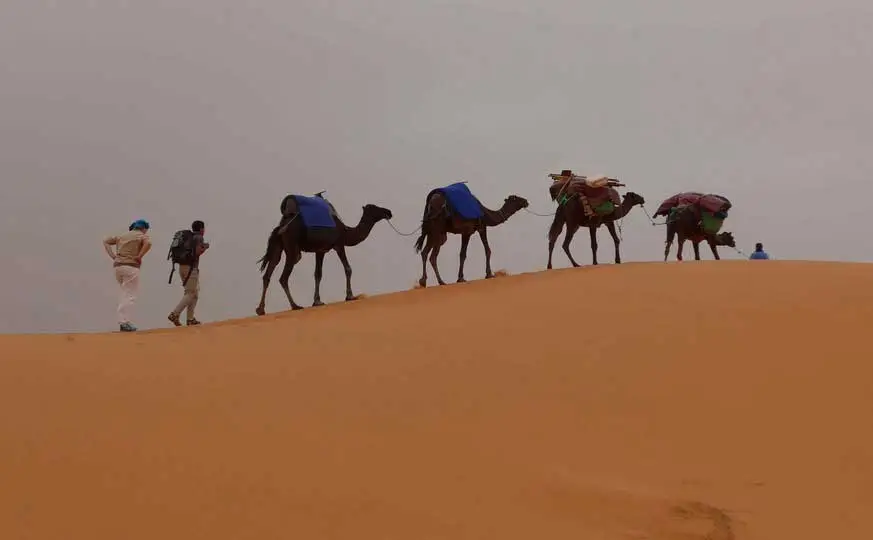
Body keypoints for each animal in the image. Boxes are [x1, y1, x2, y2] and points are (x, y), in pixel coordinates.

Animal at [255, 197, 392, 316]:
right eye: (374, 208)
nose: (389, 212)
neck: (347, 231)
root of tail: (281, 226)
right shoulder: (339, 245)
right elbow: (348, 268)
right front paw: (350, 296)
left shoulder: (320, 251)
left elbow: (318, 274)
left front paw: (317, 302)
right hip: (292, 247)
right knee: (284, 277)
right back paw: (295, 306)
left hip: (278, 246)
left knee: (268, 273)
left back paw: (260, 310)